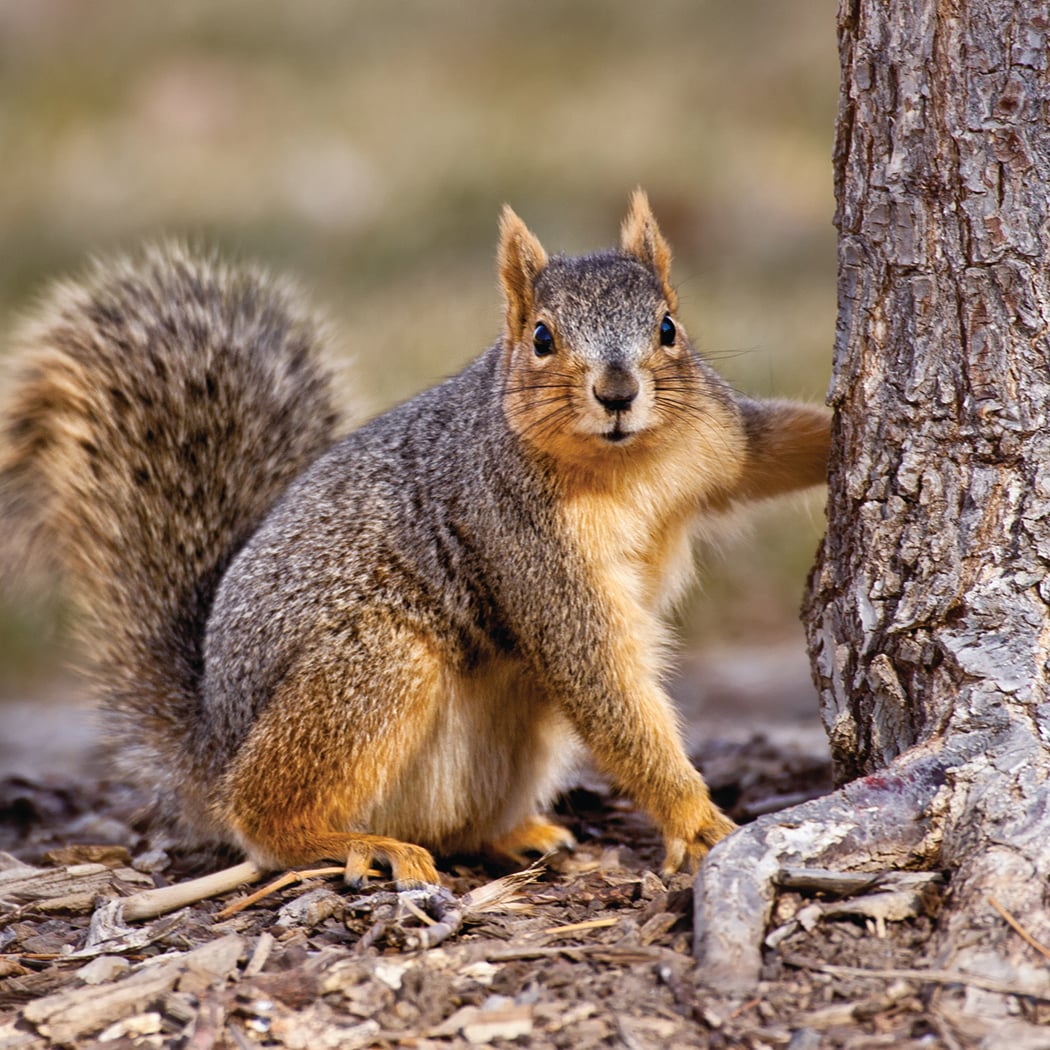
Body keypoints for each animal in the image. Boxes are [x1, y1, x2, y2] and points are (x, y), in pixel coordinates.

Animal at [0, 191, 829, 886]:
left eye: (668, 328)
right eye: (541, 337)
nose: (619, 394)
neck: (626, 466)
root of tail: (213, 738)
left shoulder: (716, 437)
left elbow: (771, 448)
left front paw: (841, 427)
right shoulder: (526, 543)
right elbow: (600, 680)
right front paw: (694, 818)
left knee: (457, 826)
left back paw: (515, 834)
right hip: (375, 668)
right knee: (260, 818)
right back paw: (352, 844)